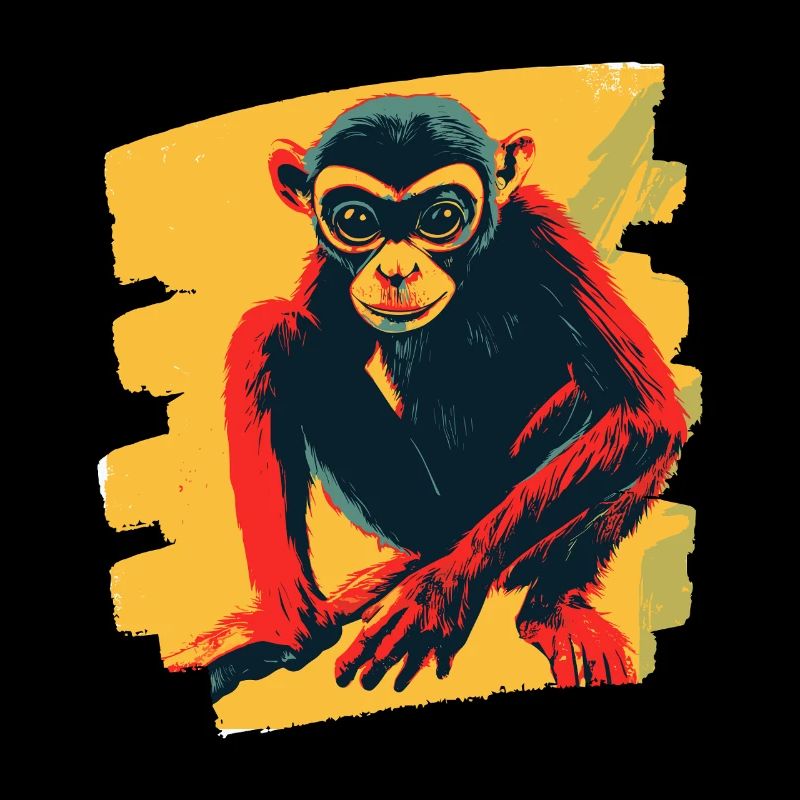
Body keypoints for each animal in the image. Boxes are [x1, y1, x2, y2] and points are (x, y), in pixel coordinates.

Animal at [168, 95, 687, 701]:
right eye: (356, 221)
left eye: (441, 218)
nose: (397, 269)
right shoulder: (329, 267)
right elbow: (292, 338)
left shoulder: (547, 234)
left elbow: (641, 410)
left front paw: (437, 598)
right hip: (414, 514)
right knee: (276, 335)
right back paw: (302, 627)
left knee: (624, 427)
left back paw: (549, 609)